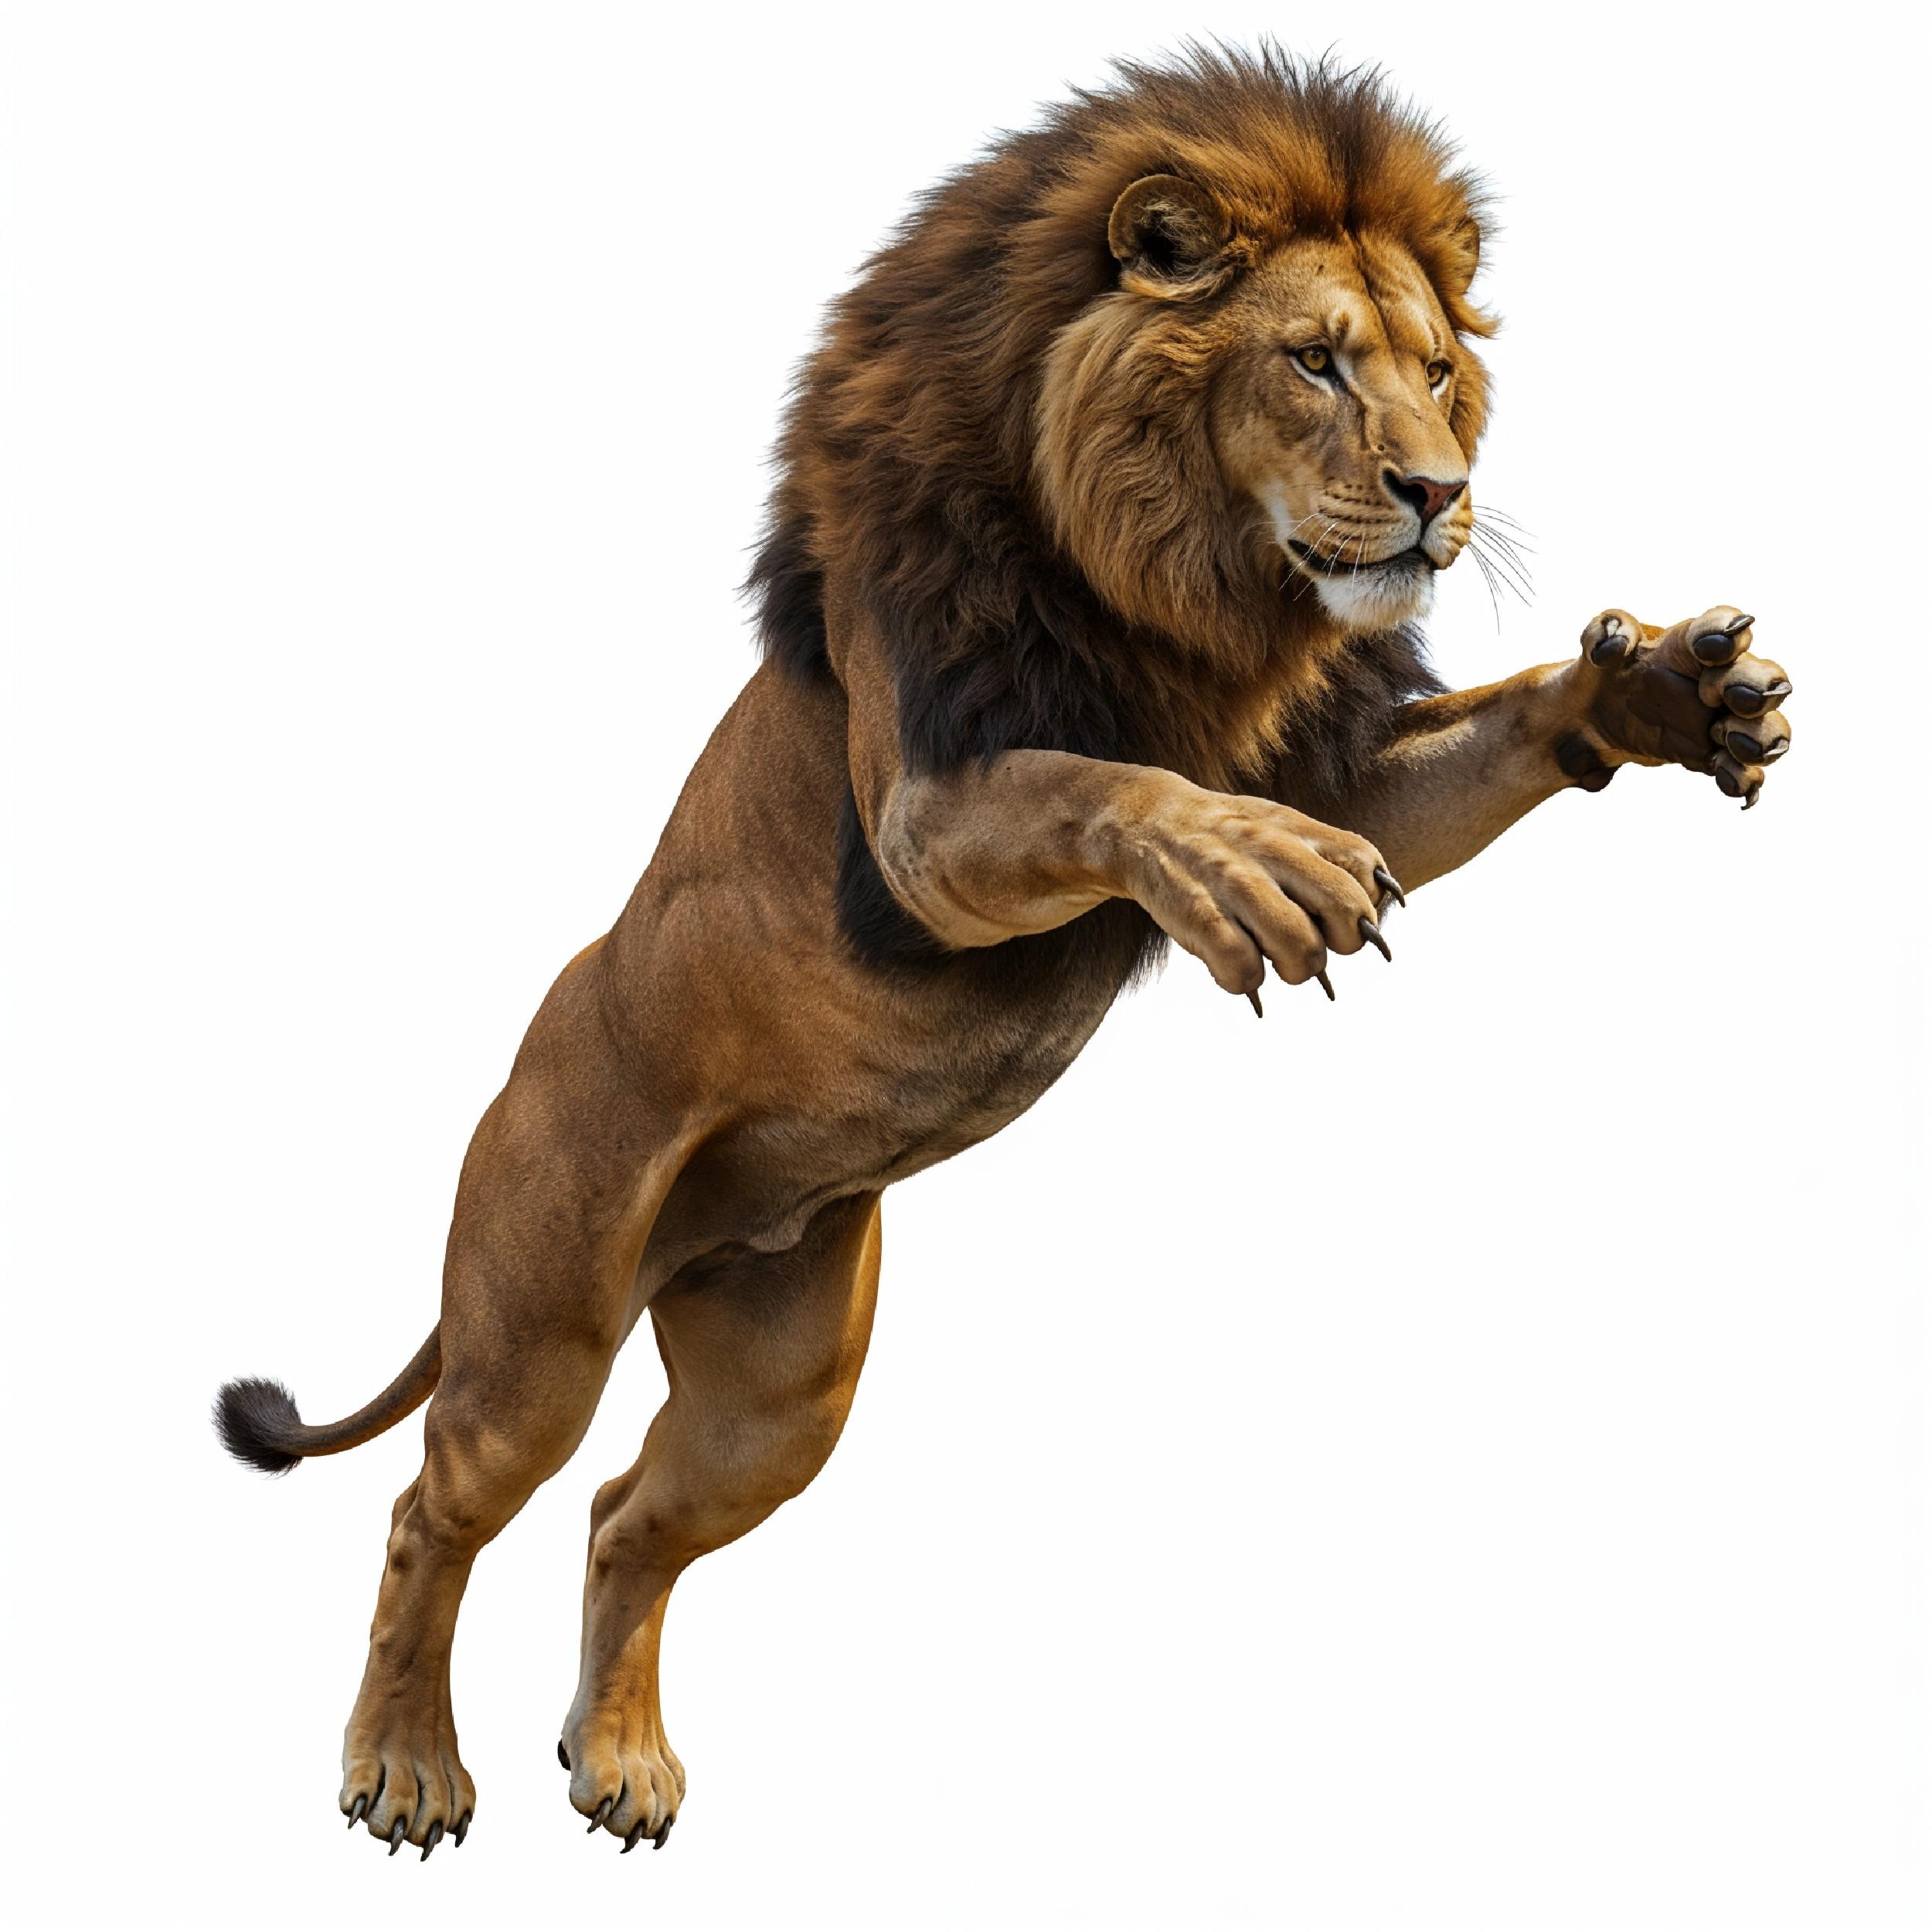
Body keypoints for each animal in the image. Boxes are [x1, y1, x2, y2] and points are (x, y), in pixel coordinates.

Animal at [215, 47, 1793, 1857]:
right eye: (1313, 361)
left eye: (1439, 371)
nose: (1435, 496)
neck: (1198, 592)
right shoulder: (926, 816)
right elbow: (1098, 784)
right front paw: (1251, 874)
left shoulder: (1335, 755)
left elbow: (1495, 727)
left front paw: (1666, 691)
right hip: (538, 1320)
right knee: (435, 1504)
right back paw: (404, 1764)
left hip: (779, 1395)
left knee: (625, 1513)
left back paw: (617, 1758)